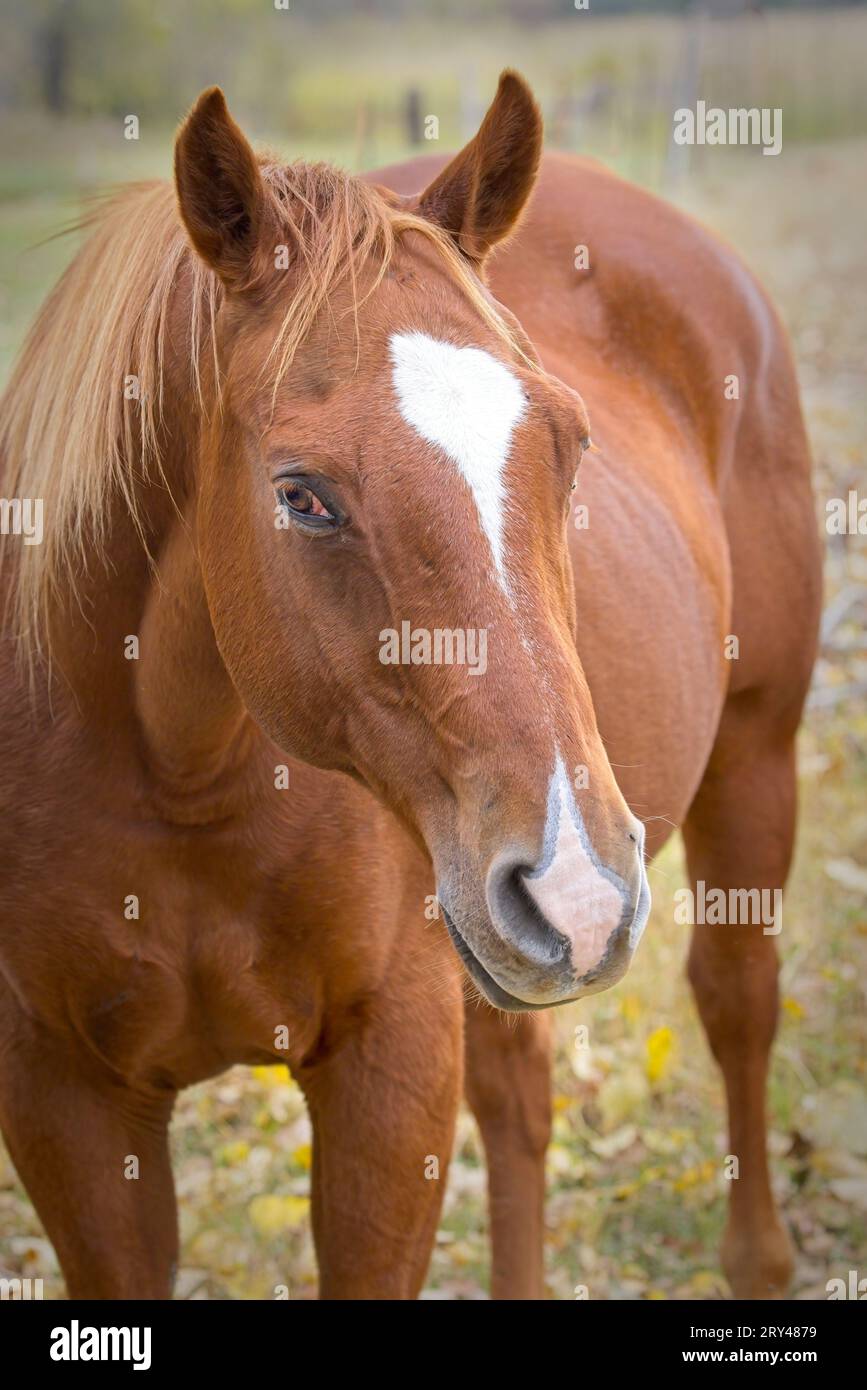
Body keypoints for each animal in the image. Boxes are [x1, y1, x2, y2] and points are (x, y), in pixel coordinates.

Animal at [0, 73, 816, 1289]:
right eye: (301, 495)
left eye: (571, 446)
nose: (578, 885)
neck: (174, 775)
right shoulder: (66, 1099)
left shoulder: (390, 1069)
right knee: (522, 1094)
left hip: (754, 755)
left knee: (736, 1002)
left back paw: (758, 1259)